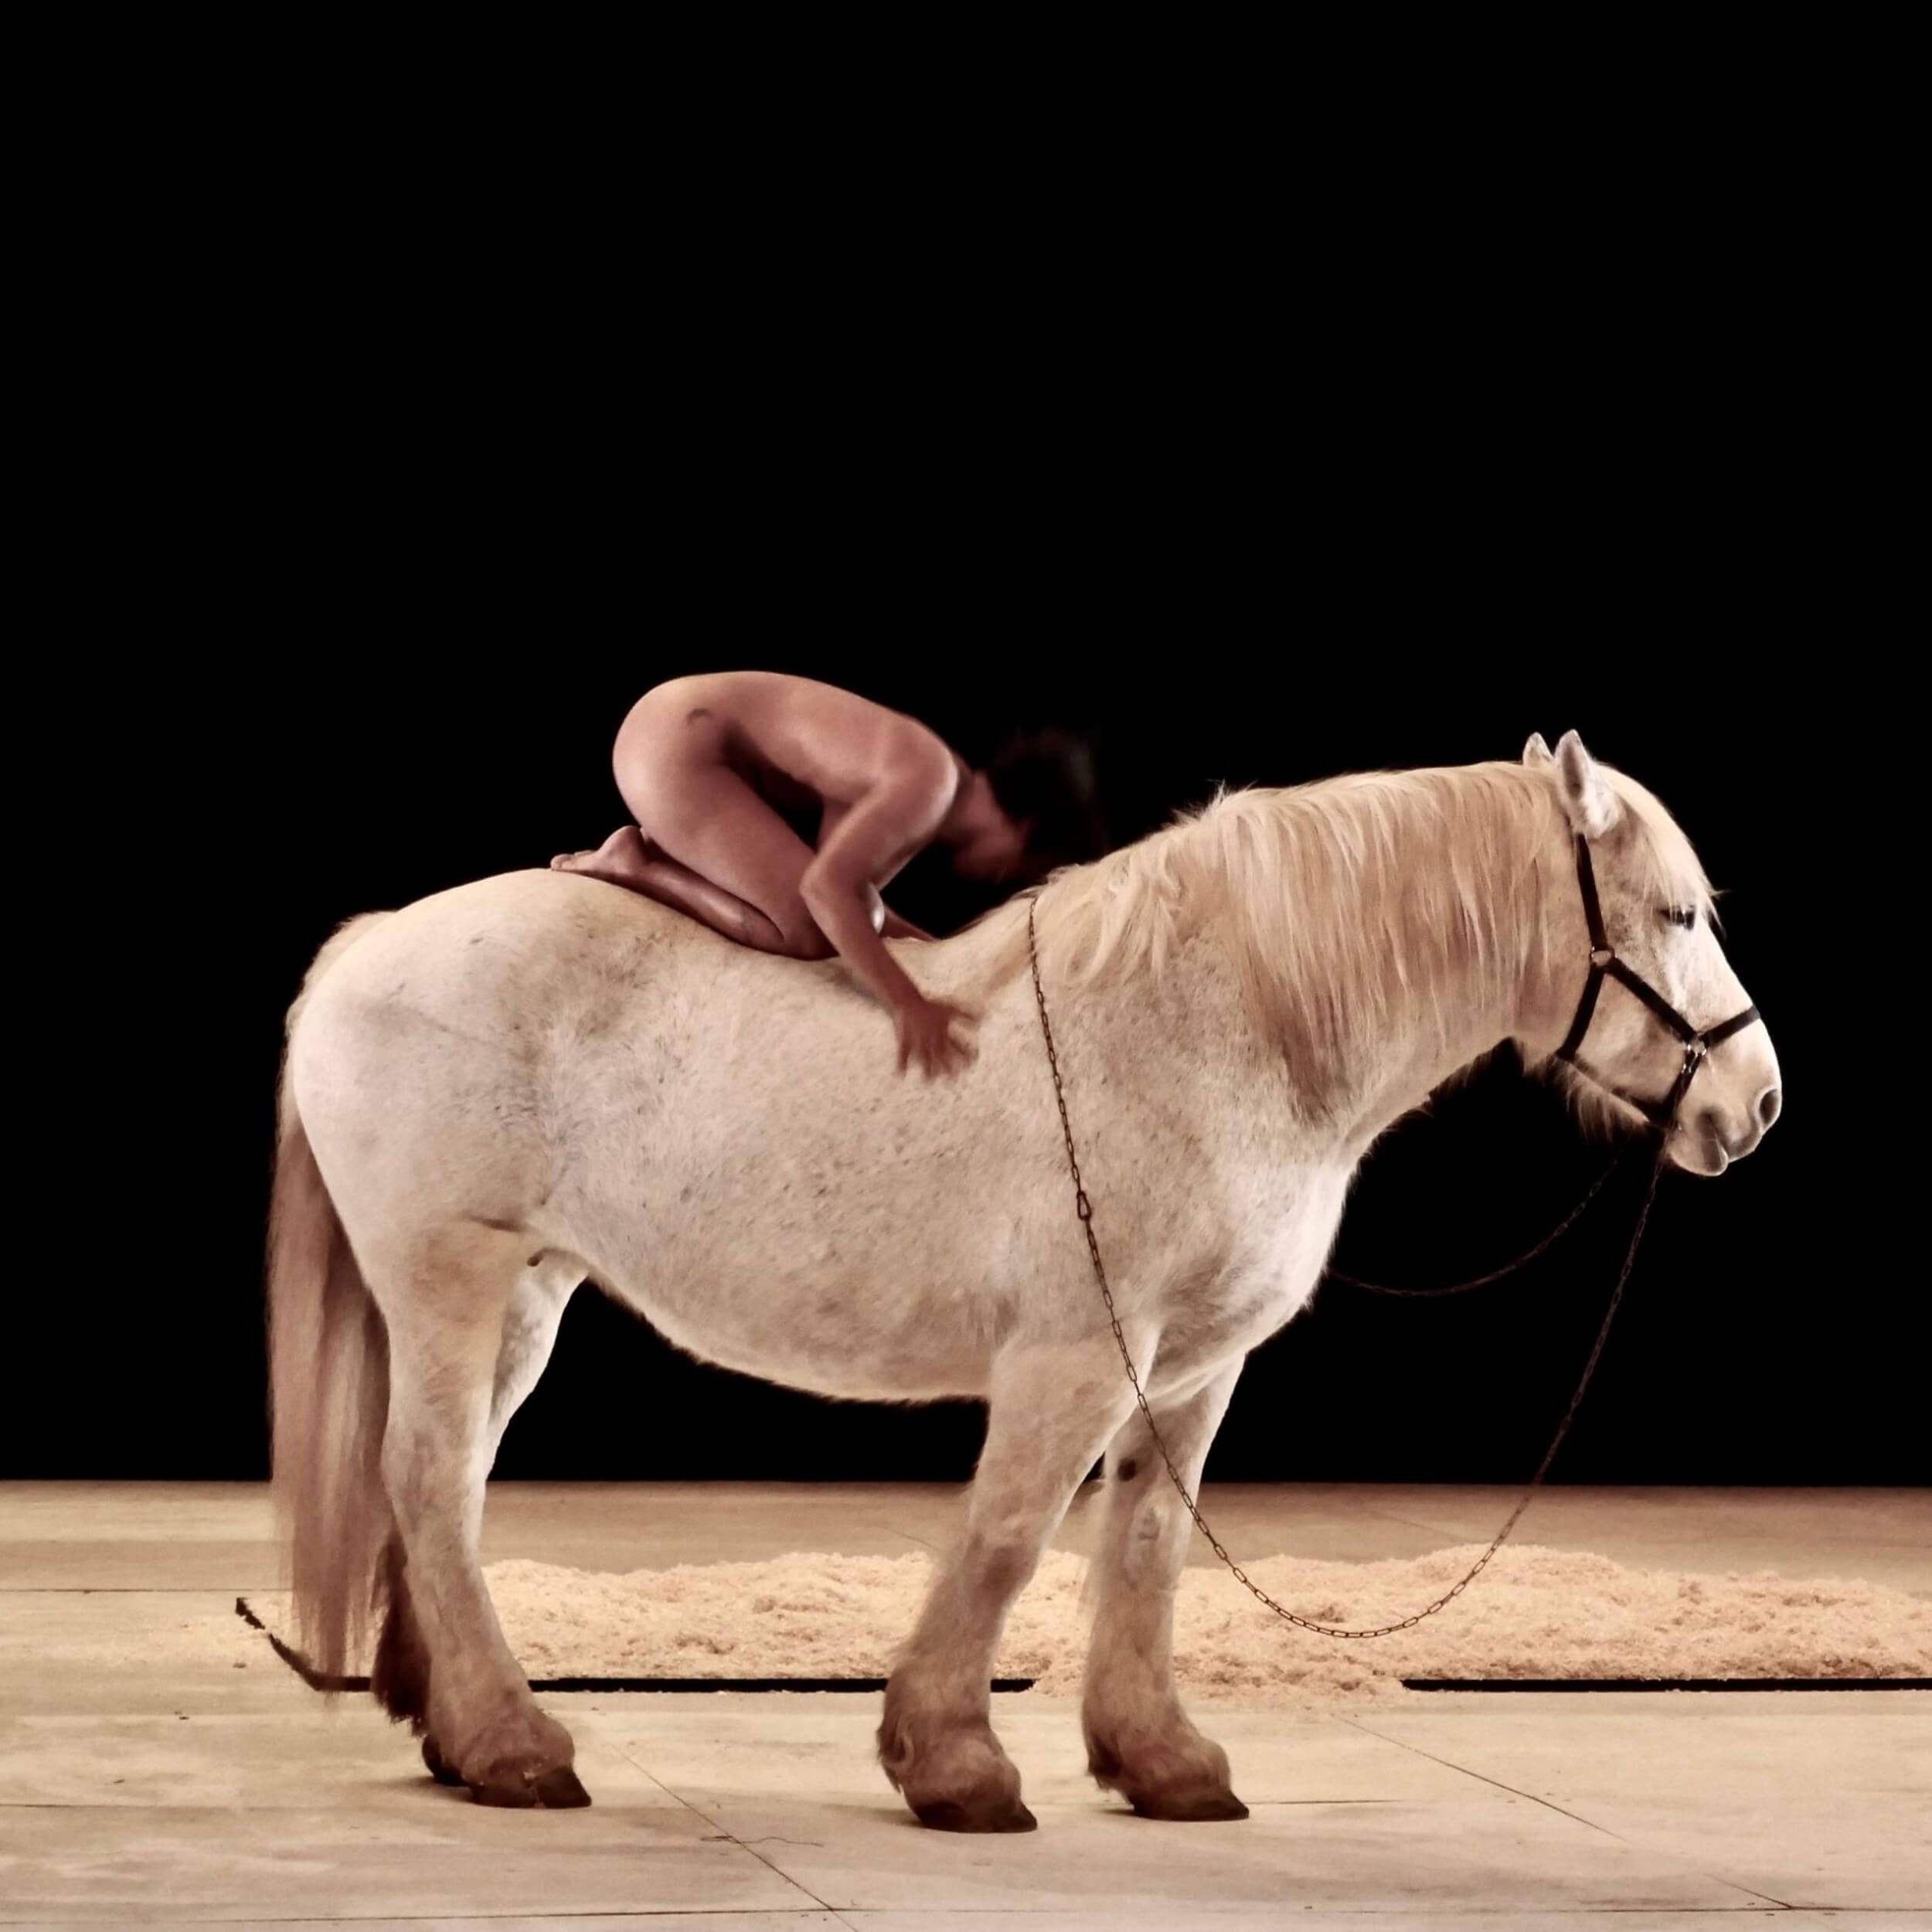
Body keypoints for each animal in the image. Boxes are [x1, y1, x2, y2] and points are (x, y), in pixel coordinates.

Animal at [267, 730, 1780, 1830]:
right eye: (1675, 911)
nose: (1758, 1103)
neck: (1226, 1025)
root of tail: (370, 943)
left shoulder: (1196, 1368)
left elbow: (1147, 1548)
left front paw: (1162, 1764)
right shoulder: (1077, 1357)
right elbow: (1007, 1539)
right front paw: (954, 1765)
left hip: (526, 1295)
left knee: (450, 1487)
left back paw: (455, 1731)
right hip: (450, 1276)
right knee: (427, 1478)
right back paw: (515, 1746)